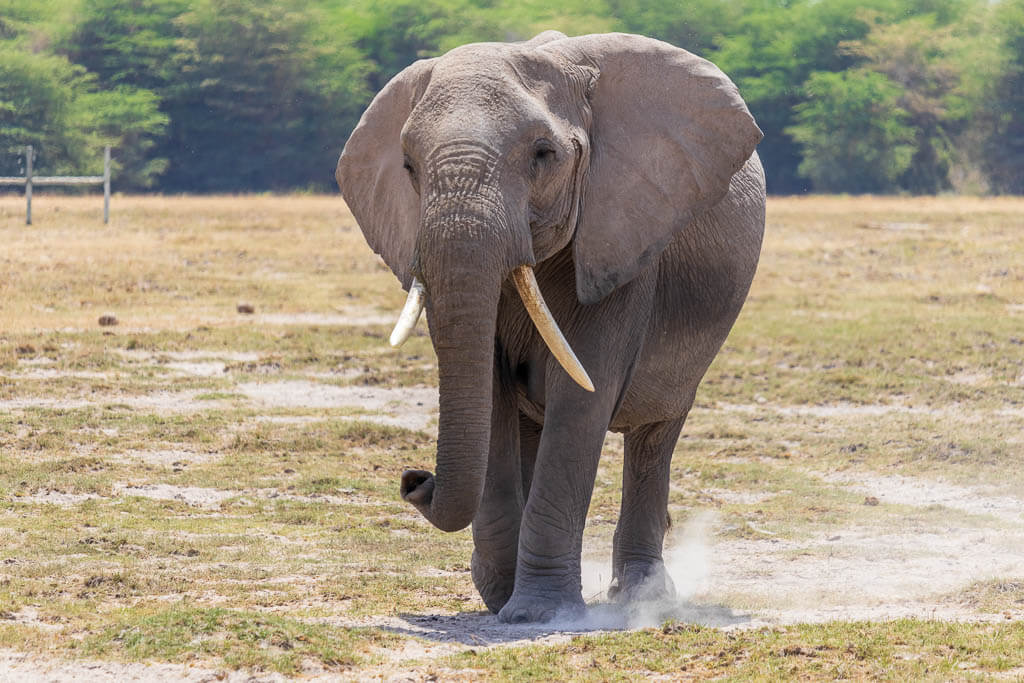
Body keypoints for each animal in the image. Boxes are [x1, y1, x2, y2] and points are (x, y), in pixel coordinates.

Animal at [335, 31, 765, 623]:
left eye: (544, 155)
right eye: (407, 165)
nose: (413, 479)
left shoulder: (620, 244)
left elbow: (581, 399)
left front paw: (537, 614)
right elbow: (492, 395)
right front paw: (501, 597)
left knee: (655, 435)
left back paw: (642, 598)